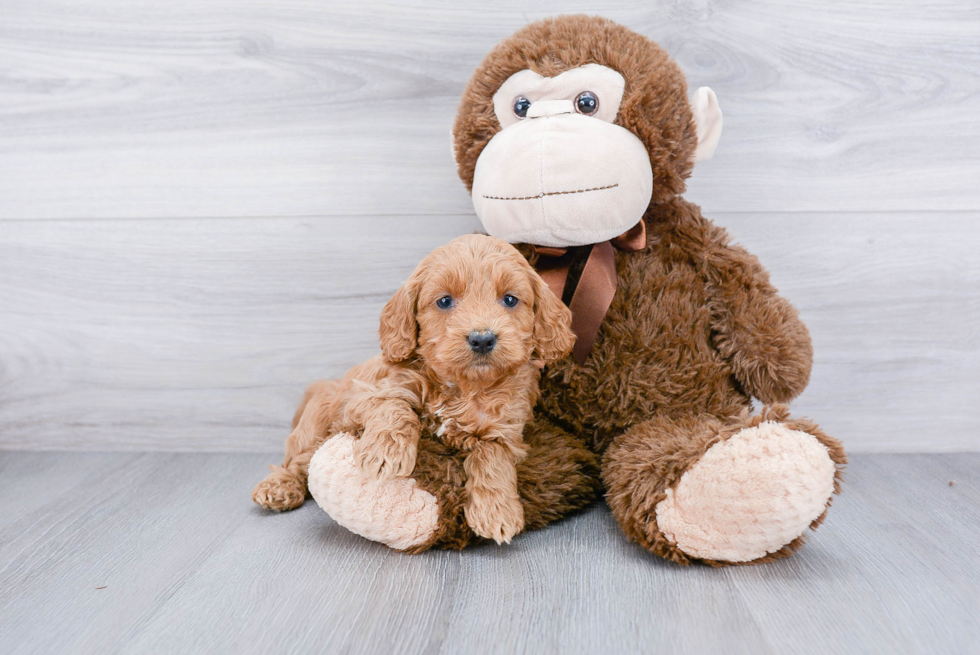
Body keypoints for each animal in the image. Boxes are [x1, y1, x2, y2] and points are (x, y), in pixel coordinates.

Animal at [253, 234, 576, 544]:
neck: (464, 386)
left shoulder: (506, 429)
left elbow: (492, 456)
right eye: (444, 302)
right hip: (317, 421)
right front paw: (386, 451)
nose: (482, 339)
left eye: (510, 299)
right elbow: (395, 405)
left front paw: (497, 511)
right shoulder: (363, 395)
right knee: (298, 461)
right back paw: (278, 487)